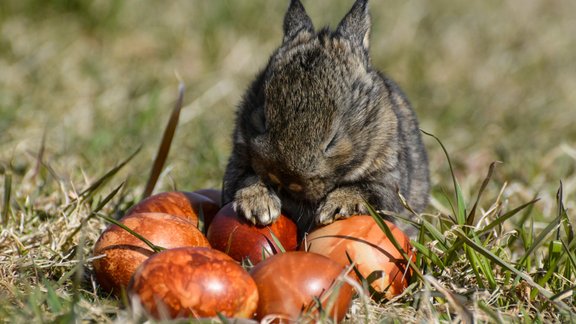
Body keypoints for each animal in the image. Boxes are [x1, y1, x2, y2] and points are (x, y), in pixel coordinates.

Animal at [223, 0, 430, 234]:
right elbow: (246, 178)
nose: (286, 179)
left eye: (333, 140)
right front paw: (259, 208)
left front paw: (336, 207)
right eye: (262, 121)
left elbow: (364, 190)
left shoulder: (386, 179)